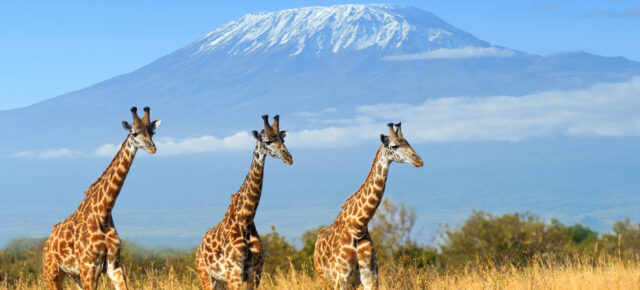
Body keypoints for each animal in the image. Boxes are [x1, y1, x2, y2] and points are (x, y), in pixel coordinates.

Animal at [42, 107, 160, 290]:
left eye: (152, 132)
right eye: (134, 133)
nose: (152, 148)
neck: (103, 213)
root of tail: (47, 242)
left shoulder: (114, 266)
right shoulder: (89, 267)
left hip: (74, 275)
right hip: (52, 272)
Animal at [196, 114, 294, 290]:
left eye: (283, 139)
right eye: (267, 141)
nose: (288, 158)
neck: (245, 220)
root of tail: (198, 247)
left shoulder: (256, 272)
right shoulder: (234, 272)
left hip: (220, 281)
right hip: (206, 276)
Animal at [312, 123, 422, 290]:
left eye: (408, 142)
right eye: (394, 146)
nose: (419, 160)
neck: (358, 227)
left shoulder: (370, 277)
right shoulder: (341, 278)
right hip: (323, 277)